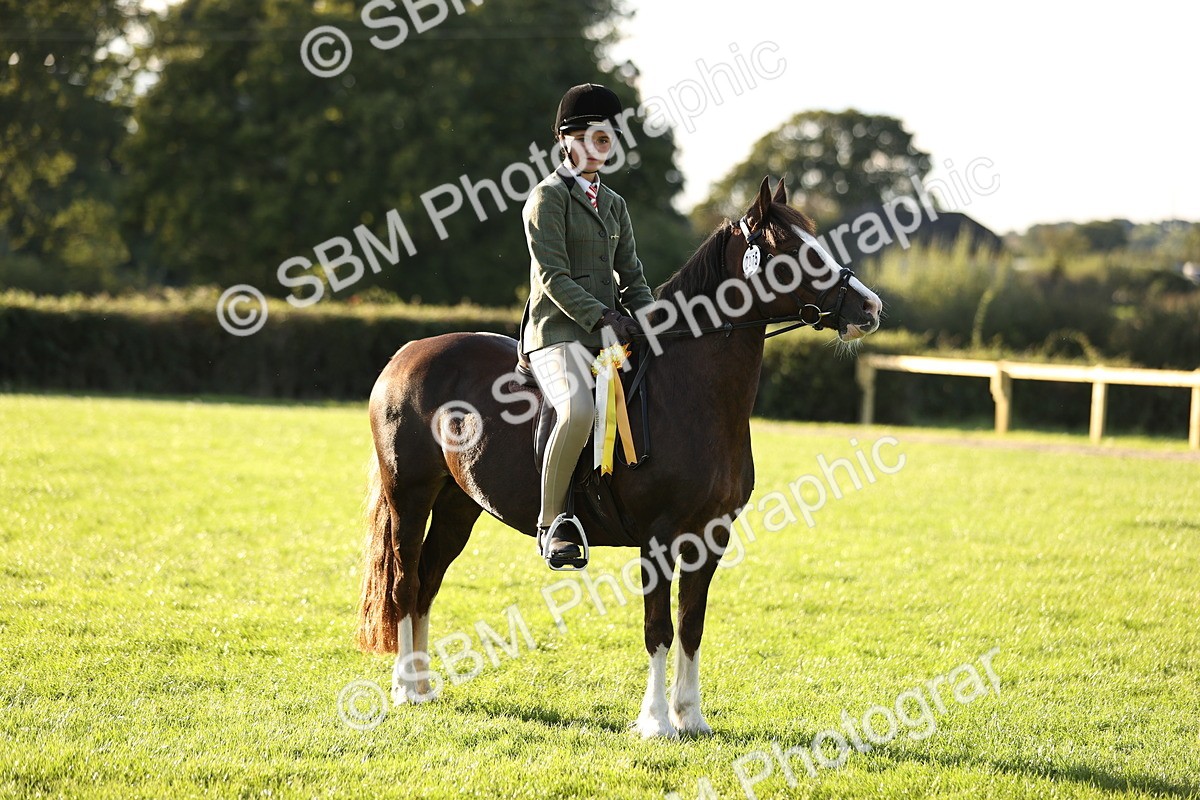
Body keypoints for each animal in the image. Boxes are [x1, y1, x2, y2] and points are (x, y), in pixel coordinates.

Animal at [357, 176, 883, 738]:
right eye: (791, 251)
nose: (869, 308)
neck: (690, 391)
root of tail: (406, 353)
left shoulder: (711, 537)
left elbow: (691, 625)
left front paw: (691, 717)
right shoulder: (658, 537)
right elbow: (659, 627)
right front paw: (655, 722)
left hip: (460, 505)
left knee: (427, 582)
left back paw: (422, 686)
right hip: (410, 498)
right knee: (406, 582)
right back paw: (403, 690)